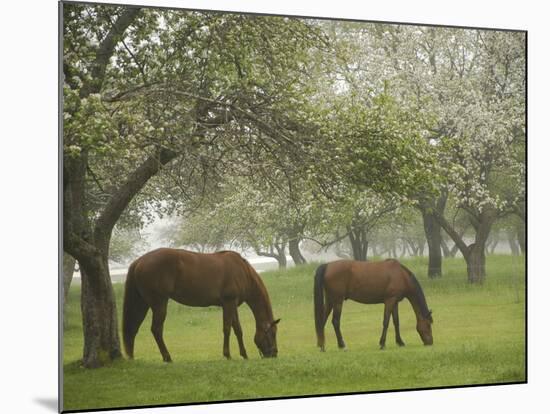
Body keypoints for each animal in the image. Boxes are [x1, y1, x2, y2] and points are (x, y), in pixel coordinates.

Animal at [123, 247, 282, 360]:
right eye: (272, 334)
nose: (274, 354)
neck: (242, 271)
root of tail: (139, 261)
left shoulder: (232, 304)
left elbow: (238, 329)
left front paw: (244, 354)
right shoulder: (228, 303)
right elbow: (227, 329)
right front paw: (227, 355)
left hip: (142, 304)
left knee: (133, 329)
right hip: (159, 304)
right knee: (156, 329)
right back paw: (167, 357)